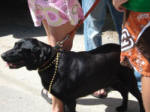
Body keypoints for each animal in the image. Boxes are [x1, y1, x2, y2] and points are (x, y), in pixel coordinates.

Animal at [0, 38, 144, 111]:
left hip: (128, 79)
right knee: (124, 92)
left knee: (138, 96)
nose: (2, 55)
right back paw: (123, 107)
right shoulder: (62, 99)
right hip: (113, 80)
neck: (51, 63)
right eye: (14, 45)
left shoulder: (70, 100)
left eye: (21, 49)